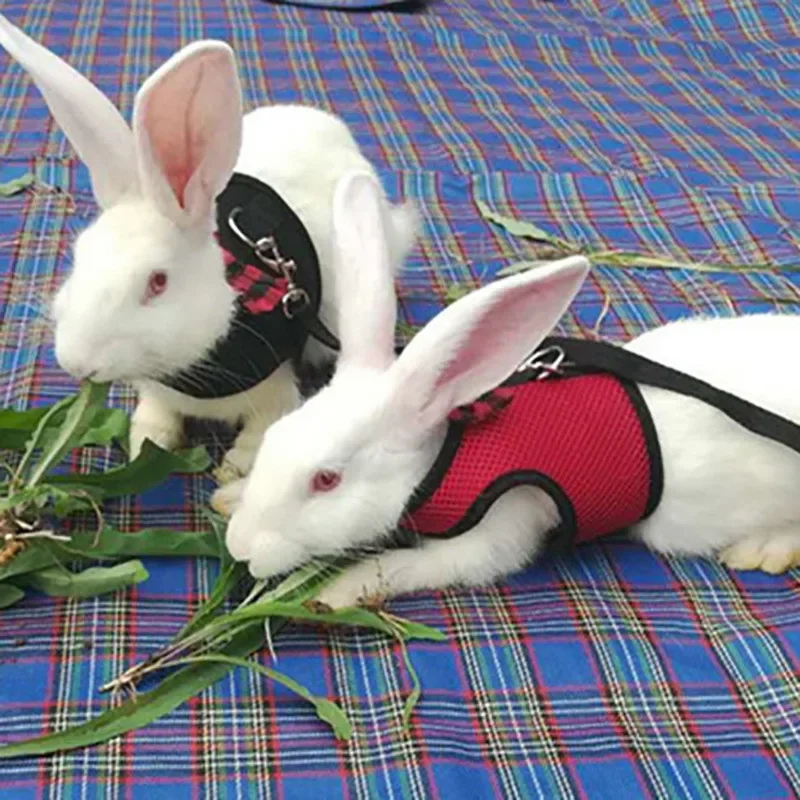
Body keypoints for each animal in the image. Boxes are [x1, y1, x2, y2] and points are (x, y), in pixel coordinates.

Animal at [0, 15, 417, 485]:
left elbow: (261, 431)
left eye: (158, 282)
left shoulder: (276, 391)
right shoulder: (159, 392)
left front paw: (233, 471)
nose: (76, 364)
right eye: (77, 258)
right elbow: (156, 419)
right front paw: (148, 443)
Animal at [217, 171, 800, 607]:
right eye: (275, 440)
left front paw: (338, 590)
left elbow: (418, 564)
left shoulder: (504, 526)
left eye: (326, 480)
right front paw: (228, 497)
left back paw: (762, 551)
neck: (448, 457)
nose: (239, 548)